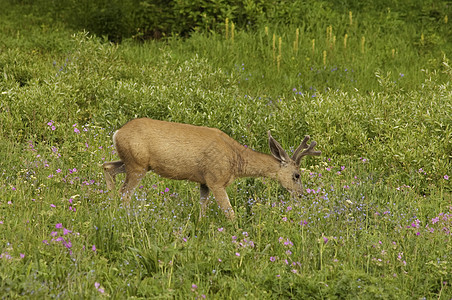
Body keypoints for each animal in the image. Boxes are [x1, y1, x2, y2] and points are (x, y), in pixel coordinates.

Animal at [102, 118, 322, 220]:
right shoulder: (216, 179)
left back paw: (109, 205)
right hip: (137, 165)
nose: (301, 195)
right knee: (125, 194)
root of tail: (117, 133)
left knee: (107, 167)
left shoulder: (204, 181)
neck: (235, 160)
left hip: (133, 163)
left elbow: (202, 209)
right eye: (297, 175)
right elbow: (229, 212)